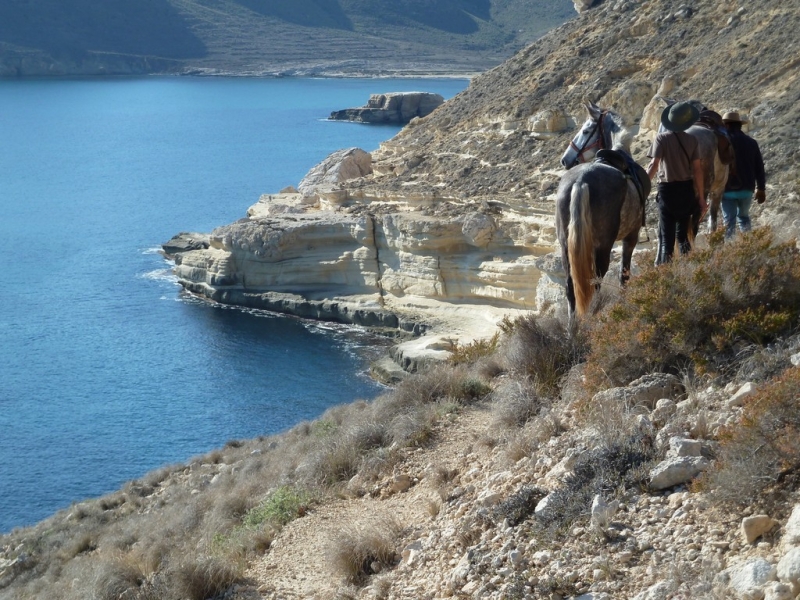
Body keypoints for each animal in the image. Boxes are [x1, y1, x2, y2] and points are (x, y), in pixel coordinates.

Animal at [556, 103, 648, 318]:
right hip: (603, 247)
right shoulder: (631, 237)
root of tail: (581, 181)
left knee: (571, 289)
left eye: (586, 130)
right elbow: (624, 275)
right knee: (596, 285)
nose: (565, 159)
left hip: (565, 247)